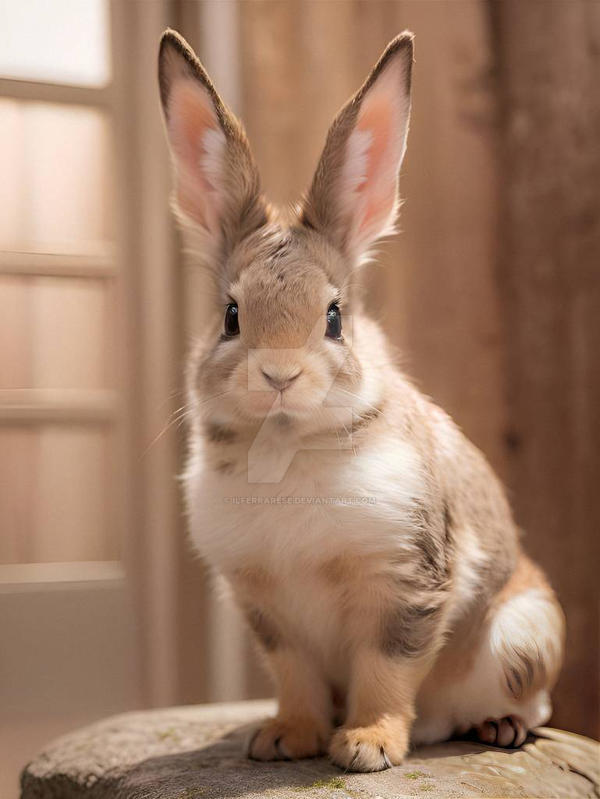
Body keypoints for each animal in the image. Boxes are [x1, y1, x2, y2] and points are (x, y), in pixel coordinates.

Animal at [158, 29, 565, 772]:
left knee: (534, 704)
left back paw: (498, 726)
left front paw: (367, 745)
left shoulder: (404, 583)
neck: (287, 444)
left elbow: (387, 667)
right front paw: (285, 739)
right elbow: (295, 675)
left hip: (526, 636)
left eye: (334, 317)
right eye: (230, 315)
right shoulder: (267, 608)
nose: (279, 373)